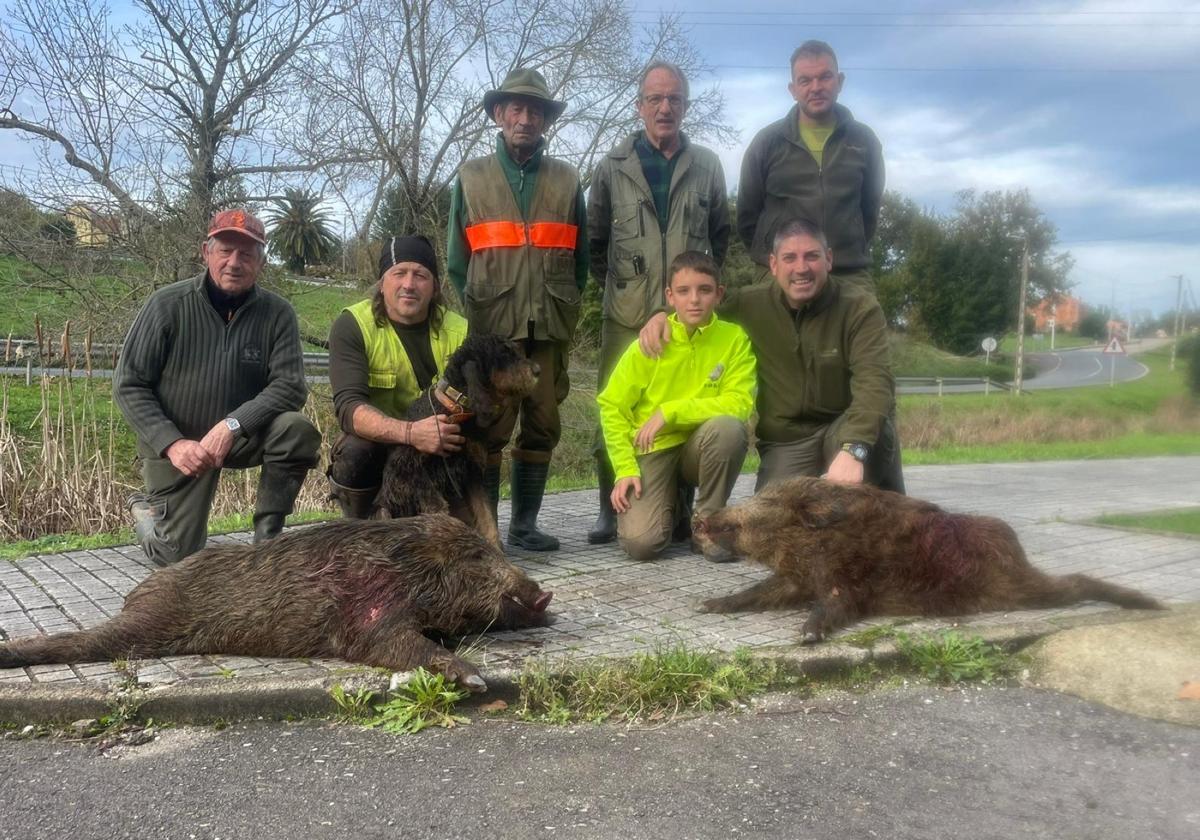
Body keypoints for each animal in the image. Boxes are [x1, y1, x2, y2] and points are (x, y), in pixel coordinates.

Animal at [0, 511, 552, 691]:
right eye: (476, 556)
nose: (544, 594)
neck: (410, 575)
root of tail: (134, 594)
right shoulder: (366, 623)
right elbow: (401, 647)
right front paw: (477, 680)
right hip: (148, 624)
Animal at [374, 331, 540, 547]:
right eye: (503, 354)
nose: (537, 370)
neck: (456, 410)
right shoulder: (409, 472)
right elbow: (437, 508)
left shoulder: (473, 471)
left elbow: (486, 516)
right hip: (383, 510)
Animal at [696, 480, 1161, 643]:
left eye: (766, 500)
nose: (700, 519)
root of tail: (1020, 557)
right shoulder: (796, 581)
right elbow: (757, 591)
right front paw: (707, 606)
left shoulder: (846, 583)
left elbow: (834, 605)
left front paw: (806, 636)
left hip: (1022, 590)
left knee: (1077, 581)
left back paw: (1150, 604)